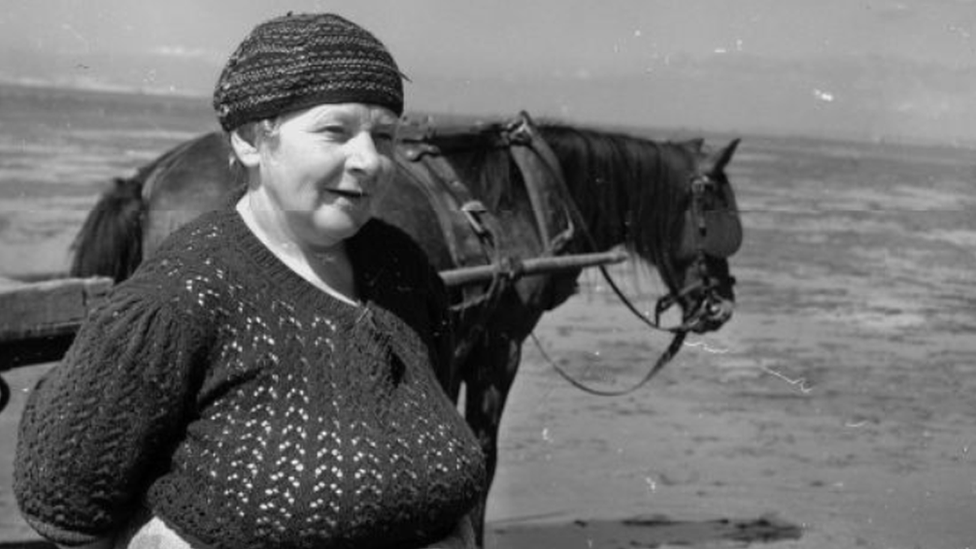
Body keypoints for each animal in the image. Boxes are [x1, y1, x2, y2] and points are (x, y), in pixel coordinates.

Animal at [70, 112, 740, 544]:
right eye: (714, 209)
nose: (722, 306)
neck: (530, 192)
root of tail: (151, 178)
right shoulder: (501, 345)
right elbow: (484, 450)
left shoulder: (456, 338)